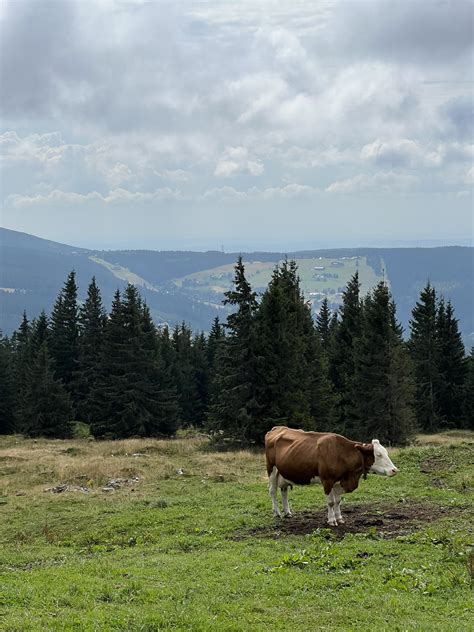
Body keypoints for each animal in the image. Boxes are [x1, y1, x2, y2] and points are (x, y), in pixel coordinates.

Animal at [264, 428, 398, 524]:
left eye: (386, 452)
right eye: (379, 454)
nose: (394, 470)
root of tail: (277, 428)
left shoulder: (338, 482)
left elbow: (337, 501)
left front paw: (339, 518)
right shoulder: (327, 480)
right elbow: (330, 502)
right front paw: (332, 520)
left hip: (283, 472)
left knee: (284, 490)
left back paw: (287, 512)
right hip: (271, 469)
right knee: (272, 491)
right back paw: (277, 513)